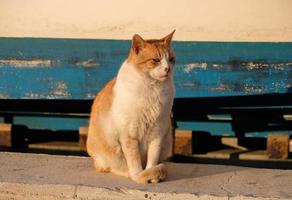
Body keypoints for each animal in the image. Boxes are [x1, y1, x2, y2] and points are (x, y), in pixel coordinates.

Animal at [86, 30, 176, 184]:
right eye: (156, 60)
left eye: (171, 59)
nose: (168, 69)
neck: (153, 88)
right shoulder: (130, 133)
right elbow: (134, 160)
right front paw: (139, 174)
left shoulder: (158, 131)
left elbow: (153, 158)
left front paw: (152, 175)